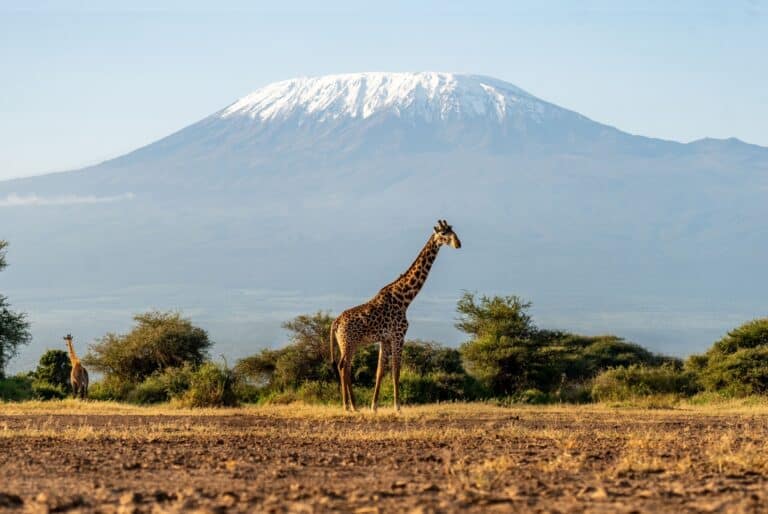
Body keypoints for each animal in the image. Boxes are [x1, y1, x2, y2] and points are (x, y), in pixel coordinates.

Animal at [330, 218, 462, 410]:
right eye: (444, 233)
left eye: (453, 231)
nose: (458, 244)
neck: (405, 299)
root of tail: (336, 322)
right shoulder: (398, 335)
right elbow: (396, 370)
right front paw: (397, 406)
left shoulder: (385, 339)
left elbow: (380, 371)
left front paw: (374, 407)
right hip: (349, 343)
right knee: (344, 367)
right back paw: (350, 406)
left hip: (346, 344)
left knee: (343, 367)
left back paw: (350, 405)